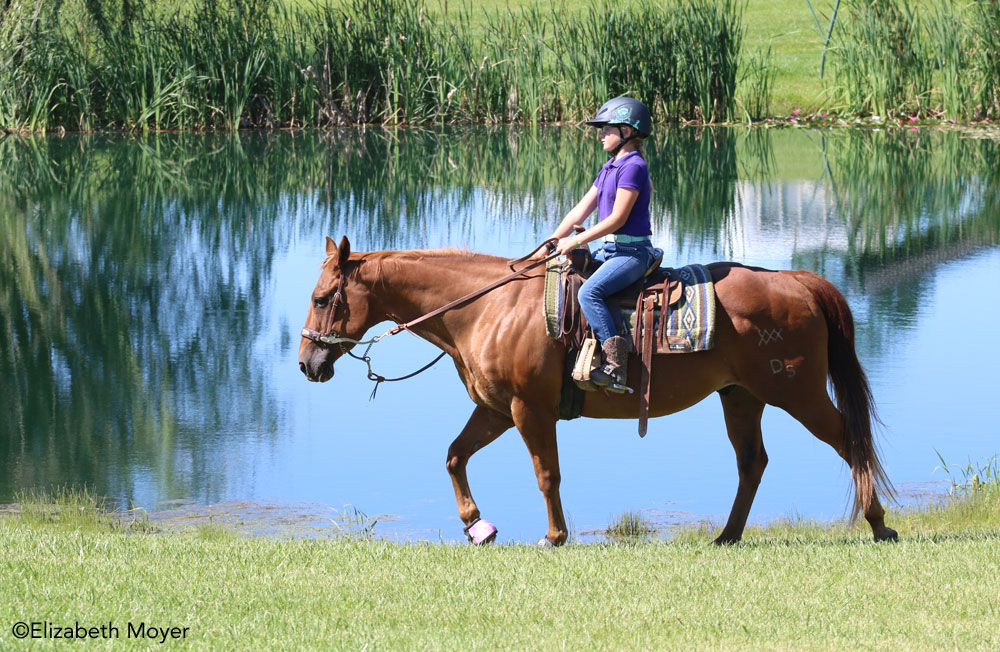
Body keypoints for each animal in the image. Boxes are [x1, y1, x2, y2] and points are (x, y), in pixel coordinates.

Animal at [298, 236, 900, 544]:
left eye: (324, 297)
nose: (307, 362)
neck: (486, 308)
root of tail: (797, 280)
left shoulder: (529, 410)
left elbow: (546, 474)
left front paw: (554, 536)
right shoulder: (495, 410)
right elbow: (453, 456)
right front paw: (478, 526)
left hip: (797, 393)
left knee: (849, 441)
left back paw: (878, 524)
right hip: (741, 397)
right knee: (753, 462)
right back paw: (727, 536)